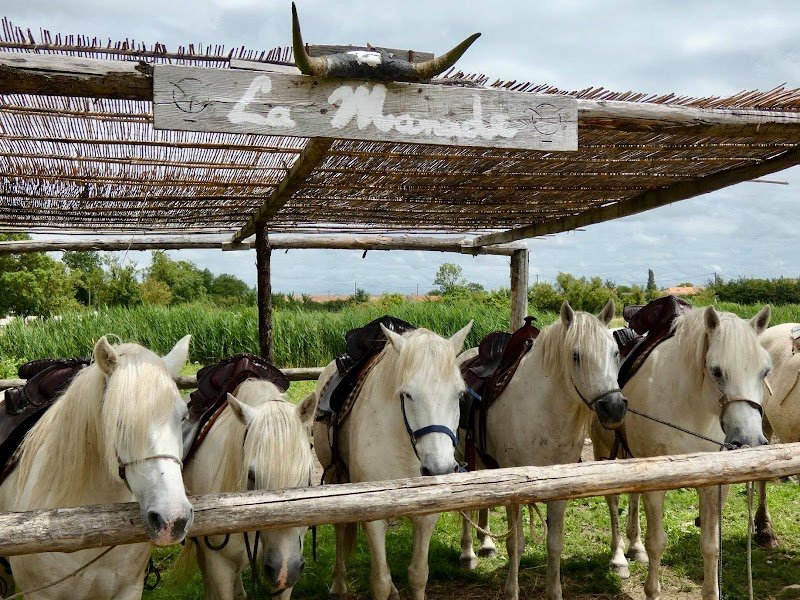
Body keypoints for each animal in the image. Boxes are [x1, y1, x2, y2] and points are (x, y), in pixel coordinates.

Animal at [313, 321, 473, 600]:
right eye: (407, 394)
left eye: (460, 394)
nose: (439, 468)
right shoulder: (372, 513)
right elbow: (380, 582)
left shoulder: (427, 513)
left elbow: (418, 575)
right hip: (334, 478)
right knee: (340, 527)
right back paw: (338, 584)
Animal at [458, 300, 627, 600]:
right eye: (575, 356)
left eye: (615, 352)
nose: (614, 407)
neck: (544, 412)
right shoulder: (513, 490)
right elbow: (516, 543)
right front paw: (511, 591)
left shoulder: (560, 490)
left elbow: (554, 543)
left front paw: (554, 591)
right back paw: (468, 554)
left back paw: (487, 543)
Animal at [591, 305, 772, 600]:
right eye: (716, 371)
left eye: (765, 371)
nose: (750, 442)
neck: (691, 408)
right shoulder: (656, 483)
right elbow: (657, 542)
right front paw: (652, 591)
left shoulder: (714, 486)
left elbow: (711, 545)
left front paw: (711, 592)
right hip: (603, 451)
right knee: (614, 501)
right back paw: (618, 559)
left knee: (632, 498)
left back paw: (634, 547)